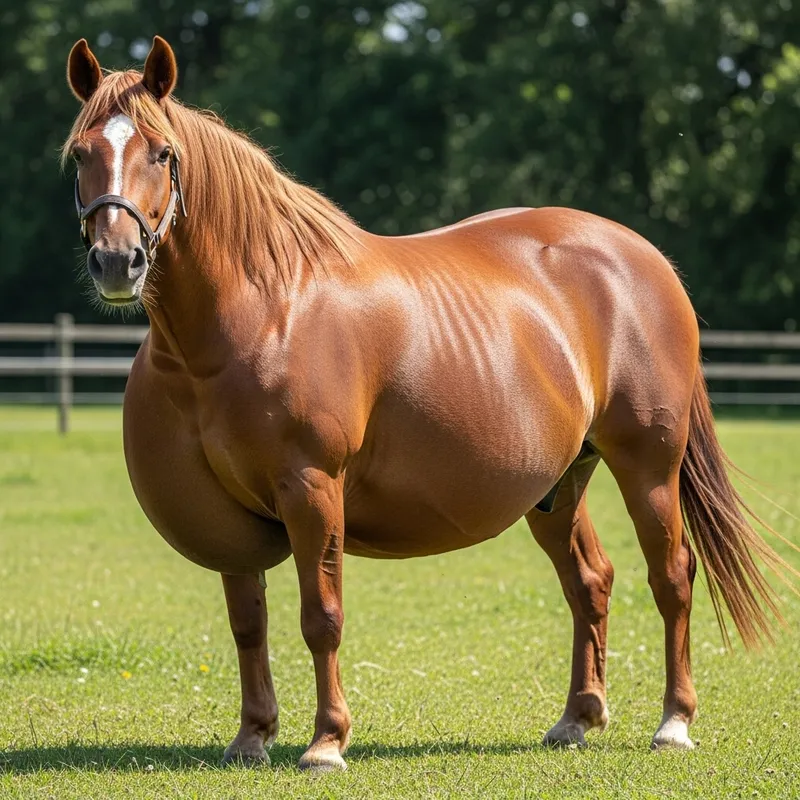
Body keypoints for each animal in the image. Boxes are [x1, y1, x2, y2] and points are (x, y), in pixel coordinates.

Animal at [63, 35, 795, 772]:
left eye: (162, 153)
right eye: (80, 154)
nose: (116, 262)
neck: (263, 307)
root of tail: (644, 259)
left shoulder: (312, 489)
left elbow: (321, 617)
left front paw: (327, 741)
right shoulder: (227, 513)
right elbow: (248, 624)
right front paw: (253, 735)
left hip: (648, 466)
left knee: (671, 577)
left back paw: (674, 722)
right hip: (560, 484)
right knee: (590, 581)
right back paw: (577, 717)